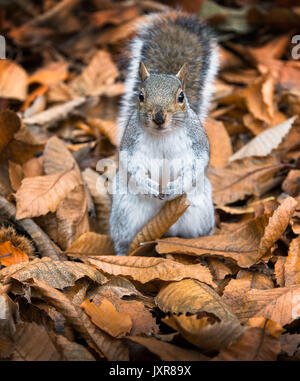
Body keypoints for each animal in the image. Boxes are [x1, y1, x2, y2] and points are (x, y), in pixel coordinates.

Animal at [109, 11, 218, 255]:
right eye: (140, 96)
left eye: (181, 96)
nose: (159, 117)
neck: (163, 135)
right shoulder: (130, 144)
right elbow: (131, 163)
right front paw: (147, 183)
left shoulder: (197, 143)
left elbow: (198, 163)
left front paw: (176, 185)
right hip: (125, 215)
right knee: (123, 240)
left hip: (198, 212)